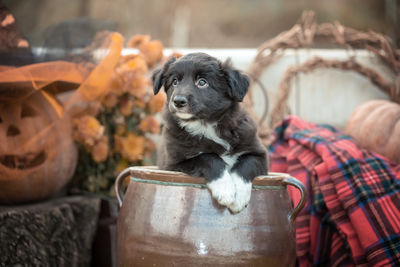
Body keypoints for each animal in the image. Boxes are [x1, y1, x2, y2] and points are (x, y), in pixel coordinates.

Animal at [152, 53, 268, 215]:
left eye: (202, 82)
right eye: (175, 81)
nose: (178, 101)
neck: (205, 124)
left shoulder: (259, 154)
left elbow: (246, 162)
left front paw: (238, 197)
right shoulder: (173, 164)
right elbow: (207, 157)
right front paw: (225, 190)